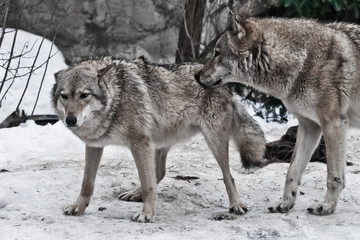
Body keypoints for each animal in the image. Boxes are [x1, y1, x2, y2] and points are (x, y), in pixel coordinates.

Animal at [50, 56, 266, 223]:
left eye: (84, 95)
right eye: (64, 96)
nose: (71, 120)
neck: (116, 99)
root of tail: (226, 85)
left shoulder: (139, 143)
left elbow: (148, 184)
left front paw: (147, 214)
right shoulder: (95, 145)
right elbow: (87, 183)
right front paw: (78, 207)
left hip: (214, 143)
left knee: (228, 176)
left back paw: (236, 205)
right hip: (158, 143)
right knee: (160, 173)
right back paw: (133, 193)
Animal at [195, 9, 360, 216]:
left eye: (217, 53)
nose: (196, 76)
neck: (303, 60)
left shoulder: (333, 123)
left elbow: (334, 176)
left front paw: (327, 207)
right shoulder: (310, 126)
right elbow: (292, 172)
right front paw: (285, 204)